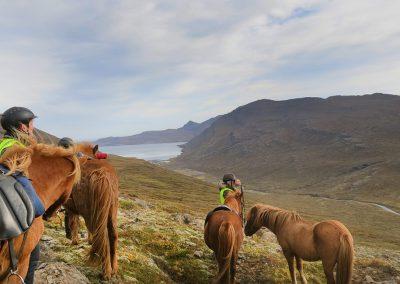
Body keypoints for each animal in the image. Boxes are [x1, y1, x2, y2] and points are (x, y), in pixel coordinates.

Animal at [63, 143, 119, 280]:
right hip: (111, 212)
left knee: (102, 236)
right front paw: (88, 240)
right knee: (113, 236)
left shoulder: (73, 210)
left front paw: (75, 241)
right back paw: (113, 269)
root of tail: (103, 174)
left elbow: (74, 224)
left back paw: (106, 272)